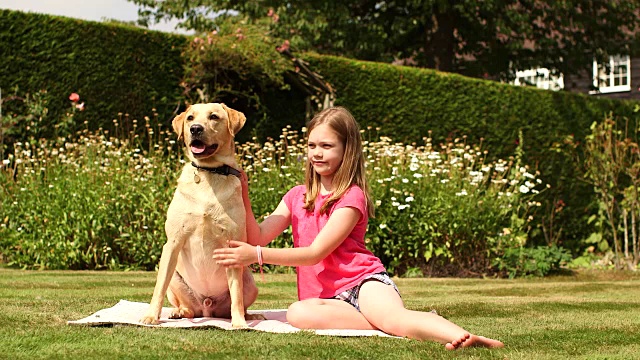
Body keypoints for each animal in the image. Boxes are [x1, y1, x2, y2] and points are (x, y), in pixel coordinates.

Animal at [141, 102, 258, 328]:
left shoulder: (232, 247)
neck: (209, 172)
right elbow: (158, 288)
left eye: (214, 117)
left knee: (236, 302)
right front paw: (151, 316)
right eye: (190, 118)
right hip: (175, 277)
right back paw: (178, 312)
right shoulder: (172, 243)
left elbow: (237, 295)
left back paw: (250, 316)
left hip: (249, 279)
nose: (195, 129)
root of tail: (207, 307)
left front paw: (239, 323)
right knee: (187, 308)